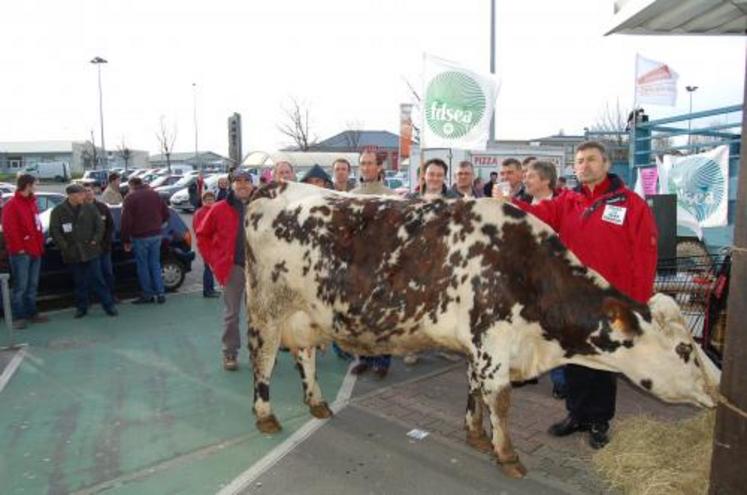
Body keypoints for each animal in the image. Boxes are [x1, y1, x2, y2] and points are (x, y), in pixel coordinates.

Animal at [243, 182, 720, 480]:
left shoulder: (481, 344)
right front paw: (507, 455)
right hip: (266, 309)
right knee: (263, 358)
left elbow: (474, 388)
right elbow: (501, 400)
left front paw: (475, 434)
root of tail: (275, 185)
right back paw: (265, 416)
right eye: (685, 350)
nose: (718, 391)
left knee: (304, 354)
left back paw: (318, 402)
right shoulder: (493, 341)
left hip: (305, 314)